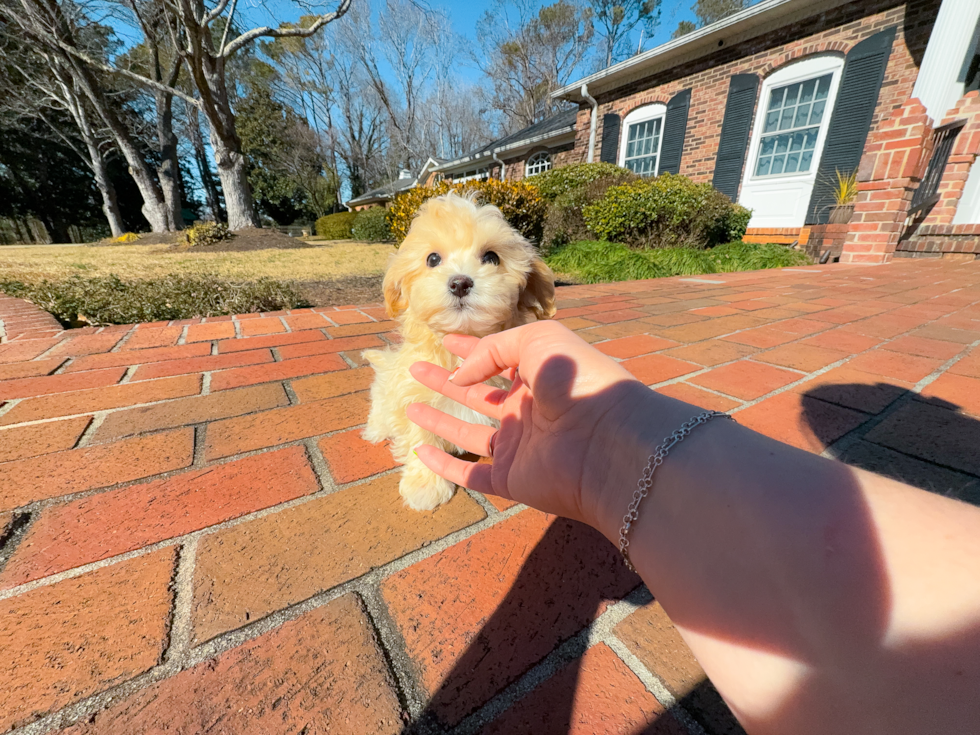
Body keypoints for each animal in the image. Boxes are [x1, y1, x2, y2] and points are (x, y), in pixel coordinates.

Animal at [362, 193, 560, 508]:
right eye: (432, 259)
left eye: (491, 257)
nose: (460, 282)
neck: (460, 351)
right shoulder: (413, 397)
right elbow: (420, 438)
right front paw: (425, 486)